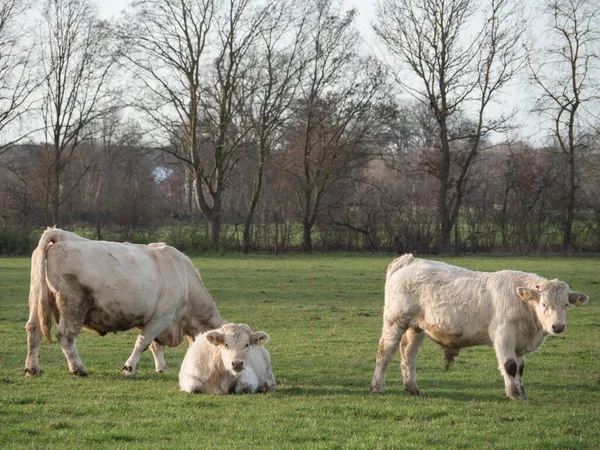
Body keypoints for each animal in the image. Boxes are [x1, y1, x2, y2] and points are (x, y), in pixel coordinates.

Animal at [22, 227, 225, 378]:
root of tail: (59, 235)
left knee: (33, 329)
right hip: (73, 304)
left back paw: (32, 368)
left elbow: (155, 345)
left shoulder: (152, 320)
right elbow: (143, 342)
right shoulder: (162, 317)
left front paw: (162, 367)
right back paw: (78, 369)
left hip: (36, 297)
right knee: (66, 335)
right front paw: (129, 368)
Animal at [370, 255, 592, 400]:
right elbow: (510, 366)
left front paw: (522, 393)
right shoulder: (503, 336)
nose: (558, 326)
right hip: (395, 320)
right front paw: (513, 395)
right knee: (386, 351)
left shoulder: (519, 342)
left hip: (416, 327)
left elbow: (520, 368)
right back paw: (377, 386)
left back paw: (412, 388)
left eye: (566, 304)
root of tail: (410, 260)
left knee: (408, 354)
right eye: (544, 304)